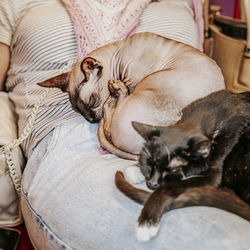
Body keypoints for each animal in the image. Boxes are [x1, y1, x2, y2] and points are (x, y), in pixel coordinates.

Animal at [114, 89, 250, 241]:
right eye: (150, 163)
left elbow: (168, 187)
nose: (152, 185)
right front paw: (135, 170)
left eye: (172, 170)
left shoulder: (213, 175)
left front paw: (147, 222)